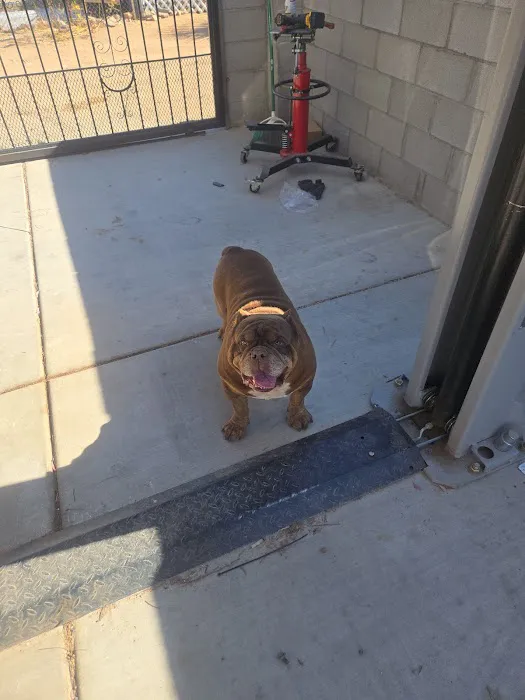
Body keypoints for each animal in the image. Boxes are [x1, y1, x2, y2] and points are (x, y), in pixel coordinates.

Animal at [213, 246, 316, 441]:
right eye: (243, 342)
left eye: (279, 341)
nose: (258, 353)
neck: (262, 311)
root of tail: (237, 249)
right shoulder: (230, 385)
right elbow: (239, 407)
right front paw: (236, 426)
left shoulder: (306, 379)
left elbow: (298, 399)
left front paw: (298, 416)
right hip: (220, 302)